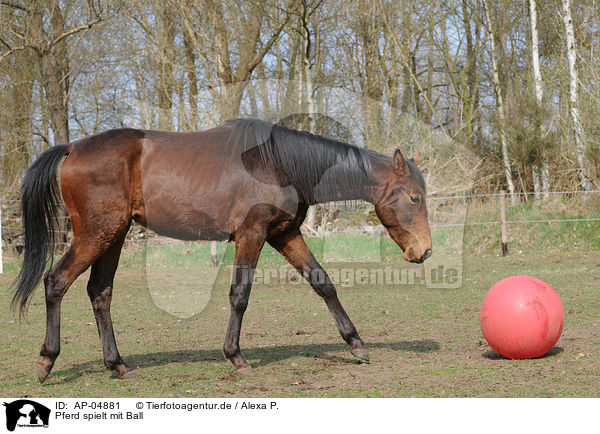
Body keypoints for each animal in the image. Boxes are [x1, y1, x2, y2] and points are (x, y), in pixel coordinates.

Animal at [14, 119, 432, 384]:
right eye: (414, 197)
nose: (424, 251)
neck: (277, 163)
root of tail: (72, 148)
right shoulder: (252, 233)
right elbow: (240, 295)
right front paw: (236, 357)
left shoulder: (284, 234)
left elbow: (322, 282)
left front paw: (356, 344)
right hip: (96, 236)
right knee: (55, 282)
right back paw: (46, 361)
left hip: (112, 237)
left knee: (99, 294)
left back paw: (118, 365)